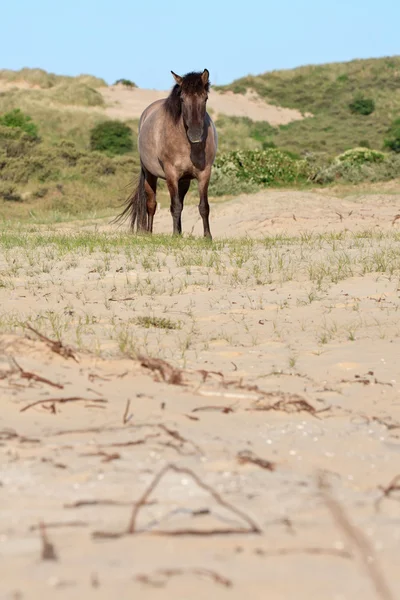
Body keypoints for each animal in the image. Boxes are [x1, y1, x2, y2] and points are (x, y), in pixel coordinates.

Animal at [114, 69, 217, 239]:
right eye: (182, 98)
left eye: (205, 98)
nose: (195, 134)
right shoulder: (171, 174)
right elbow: (174, 206)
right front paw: (174, 236)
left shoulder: (204, 174)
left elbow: (203, 206)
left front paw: (207, 237)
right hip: (150, 175)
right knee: (151, 204)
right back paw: (149, 232)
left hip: (184, 180)